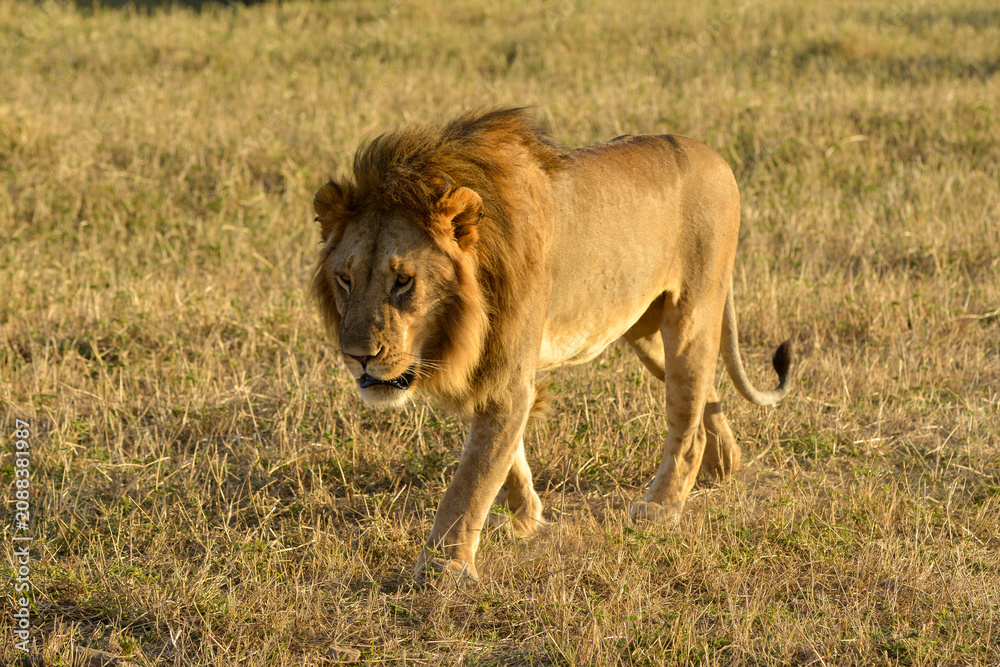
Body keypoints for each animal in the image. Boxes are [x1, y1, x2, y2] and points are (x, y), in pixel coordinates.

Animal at [311, 108, 792, 584]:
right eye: (345, 279)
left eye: (403, 281)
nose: (357, 357)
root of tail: (715, 155)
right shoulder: (492, 373)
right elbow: (505, 457)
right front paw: (526, 518)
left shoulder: (507, 378)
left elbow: (471, 479)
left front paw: (443, 567)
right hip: (645, 331)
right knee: (706, 394)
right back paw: (724, 464)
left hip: (691, 315)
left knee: (686, 417)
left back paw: (661, 506)